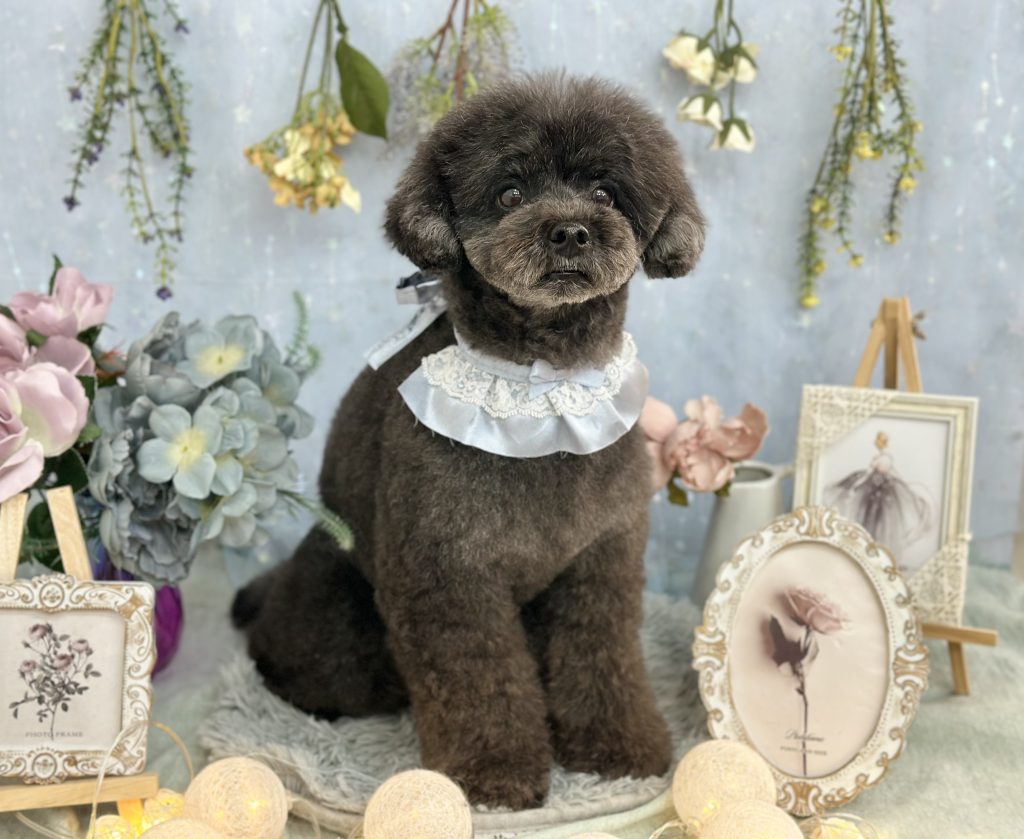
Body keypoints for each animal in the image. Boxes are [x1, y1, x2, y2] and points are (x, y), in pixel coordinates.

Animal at [233, 74, 705, 809]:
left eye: (605, 192)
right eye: (509, 192)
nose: (569, 230)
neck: (538, 388)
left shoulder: (601, 561)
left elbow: (603, 657)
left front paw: (619, 749)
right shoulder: (446, 572)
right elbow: (478, 678)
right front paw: (492, 773)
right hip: (340, 625)